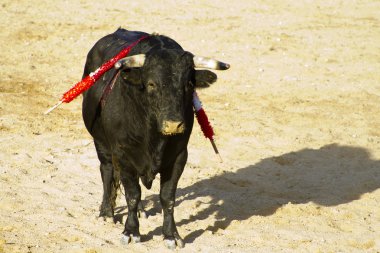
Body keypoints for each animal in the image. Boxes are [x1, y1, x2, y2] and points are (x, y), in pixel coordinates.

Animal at [81, 28, 229, 248]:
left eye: (189, 84)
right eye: (151, 84)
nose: (173, 125)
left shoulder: (178, 157)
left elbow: (167, 197)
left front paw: (171, 235)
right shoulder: (123, 155)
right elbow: (132, 194)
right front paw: (131, 232)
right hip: (101, 143)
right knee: (107, 171)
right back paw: (107, 212)